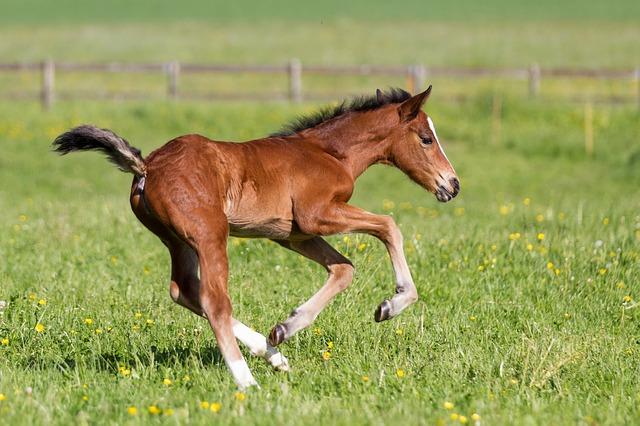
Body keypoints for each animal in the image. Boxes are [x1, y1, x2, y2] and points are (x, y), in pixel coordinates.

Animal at [53, 86, 459, 389]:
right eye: (426, 138)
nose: (452, 185)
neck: (329, 153)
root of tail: (147, 166)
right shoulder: (317, 216)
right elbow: (389, 225)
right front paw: (393, 304)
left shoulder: (293, 235)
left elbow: (344, 269)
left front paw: (284, 328)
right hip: (209, 235)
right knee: (214, 300)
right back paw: (247, 381)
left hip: (178, 241)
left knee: (184, 290)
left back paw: (274, 355)